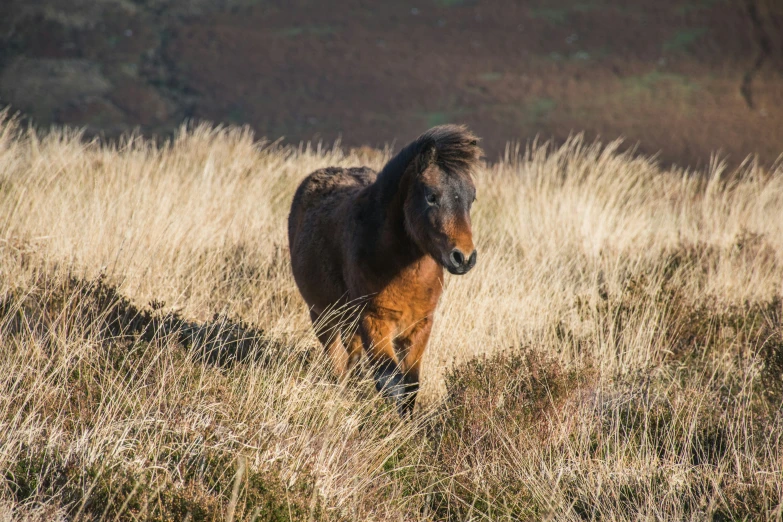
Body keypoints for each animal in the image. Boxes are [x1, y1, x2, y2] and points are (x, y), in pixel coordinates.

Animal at [290, 125, 484, 414]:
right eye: (431, 196)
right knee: (337, 363)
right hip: (323, 316)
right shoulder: (374, 320)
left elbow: (411, 385)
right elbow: (391, 383)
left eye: (471, 198)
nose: (464, 257)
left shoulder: (420, 325)